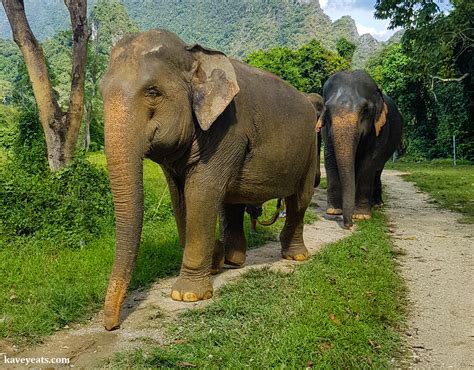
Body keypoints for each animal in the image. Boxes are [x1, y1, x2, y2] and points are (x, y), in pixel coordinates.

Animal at [99, 28, 318, 330]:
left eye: (153, 92)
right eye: (100, 93)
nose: (112, 325)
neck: (195, 55)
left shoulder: (227, 130)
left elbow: (201, 193)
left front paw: (187, 295)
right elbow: (180, 198)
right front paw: (214, 263)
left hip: (310, 147)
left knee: (299, 199)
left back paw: (296, 256)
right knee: (233, 202)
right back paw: (234, 261)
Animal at [320, 70, 402, 228]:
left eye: (365, 110)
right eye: (327, 111)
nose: (348, 225)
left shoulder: (379, 129)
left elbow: (368, 163)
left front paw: (362, 216)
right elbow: (330, 158)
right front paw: (333, 211)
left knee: (378, 169)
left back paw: (377, 204)